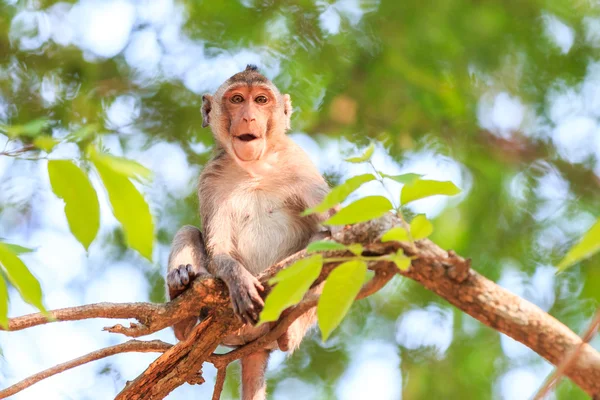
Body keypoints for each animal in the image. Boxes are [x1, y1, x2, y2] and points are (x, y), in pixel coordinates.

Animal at [165, 65, 332, 400]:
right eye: (237, 99)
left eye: (261, 100)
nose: (249, 118)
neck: (256, 167)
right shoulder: (212, 178)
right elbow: (218, 249)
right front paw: (239, 280)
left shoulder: (300, 164)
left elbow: (342, 228)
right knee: (189, 231)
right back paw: (183, 304)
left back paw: (289, 331)